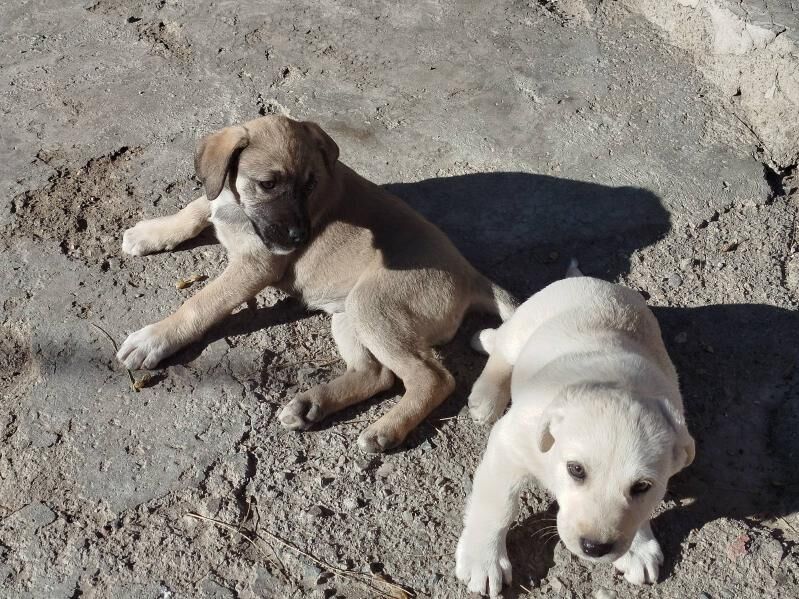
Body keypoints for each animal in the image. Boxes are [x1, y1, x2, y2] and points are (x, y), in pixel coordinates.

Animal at [116, 115, 516, 453]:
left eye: (310, 185)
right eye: (268, 184)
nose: (300, 237)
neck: (240, 206)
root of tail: (470, 274)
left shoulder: (254, 267)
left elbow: (200, 304)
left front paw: (155, 338)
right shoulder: (220, 203)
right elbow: (196, 208)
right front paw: (152, 233)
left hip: (372, 305)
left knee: (433, 378)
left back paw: (385, 430)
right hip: (348, 313)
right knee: (377, 373)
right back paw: (312, 405)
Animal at [455, 263, 695, 595]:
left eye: (642, 487)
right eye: (576, 470)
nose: (595, 547)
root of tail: (587, 279)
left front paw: (638, 547)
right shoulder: (509, 444)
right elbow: (497, 504)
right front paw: (483, 560)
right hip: (524, 326)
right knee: (501, 350)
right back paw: (486, 391)